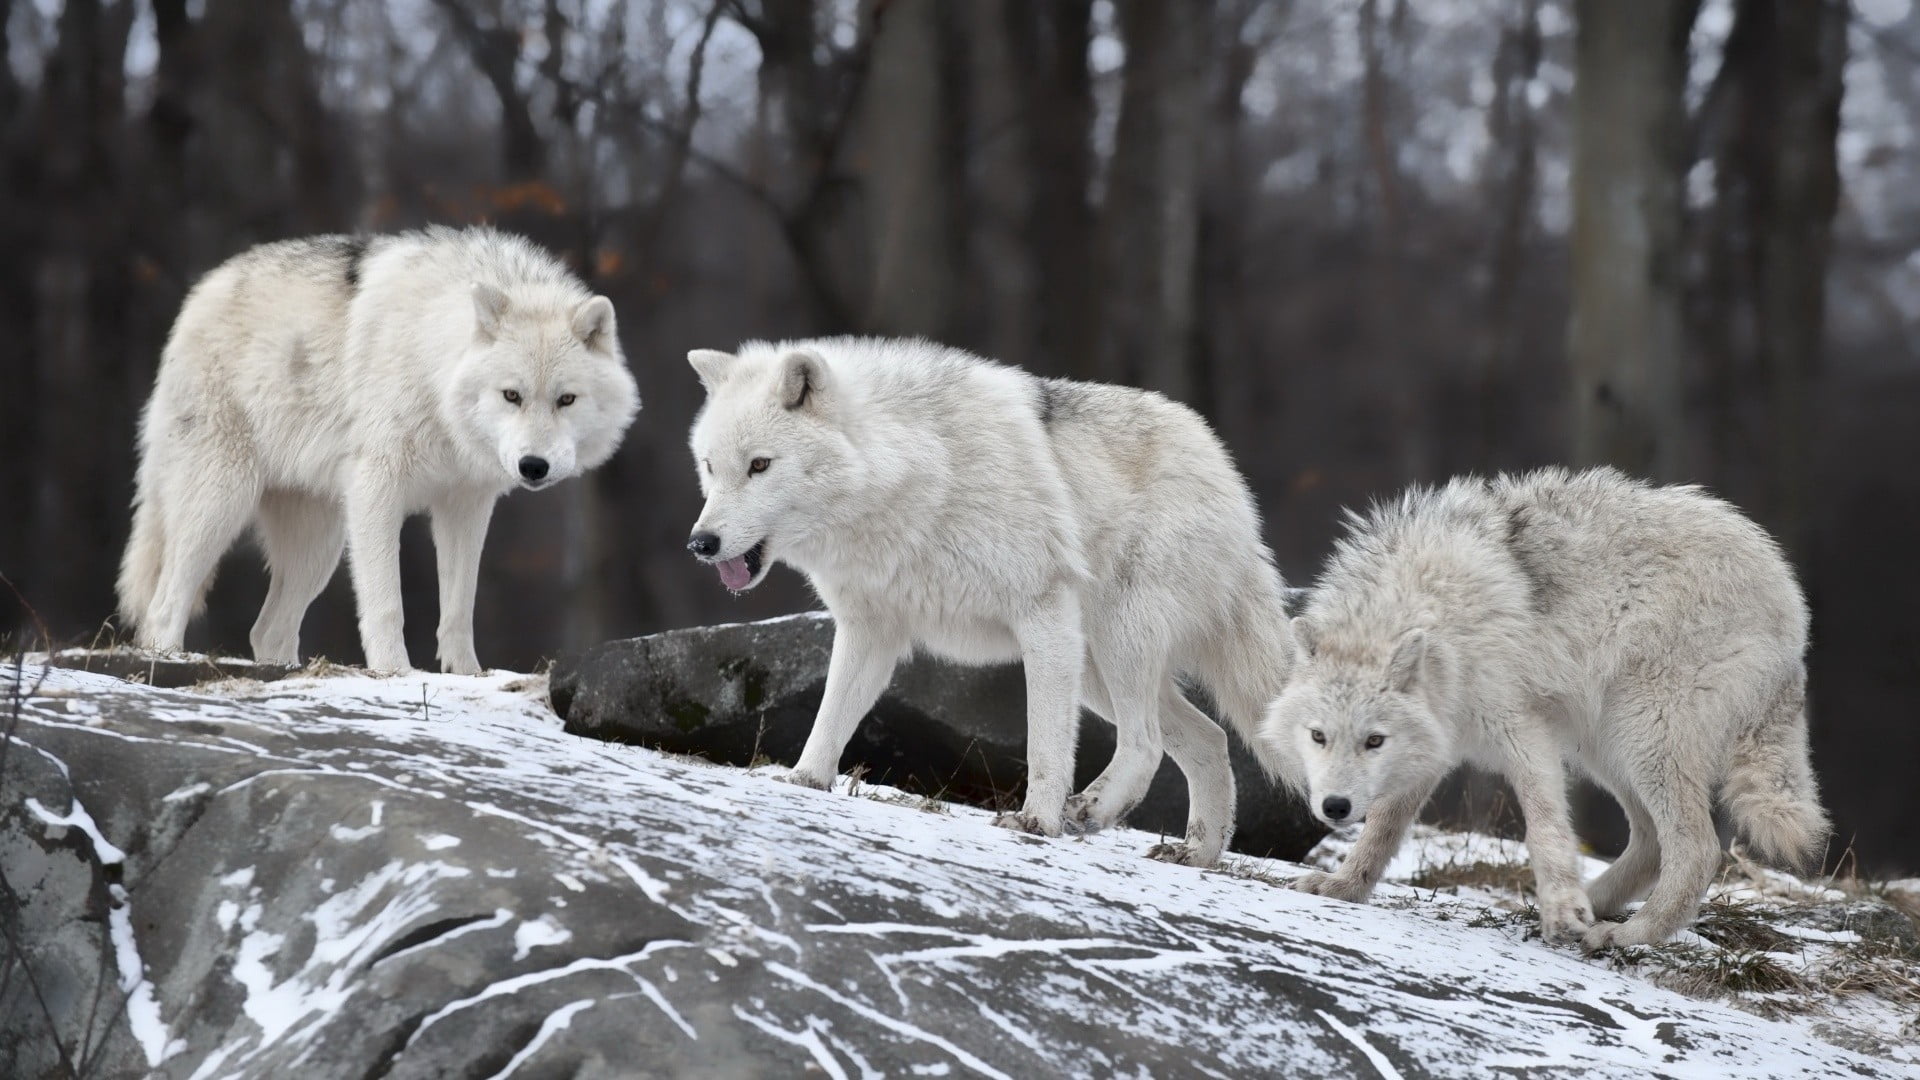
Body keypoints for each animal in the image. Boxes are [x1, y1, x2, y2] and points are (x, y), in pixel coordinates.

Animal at [117, 226, 640, 673]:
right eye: (512, 395)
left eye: (566, 399)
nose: (533, 466)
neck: (432, 365)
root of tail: (200, 292)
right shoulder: (377, 489)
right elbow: (387, 603)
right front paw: (394, 672)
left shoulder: (466, 505)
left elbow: (459, 608)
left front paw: (467, 675)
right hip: (223, 503)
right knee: (163, 606)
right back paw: (168, 659)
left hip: (318, 547)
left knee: (267, 631)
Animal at [683, 337, 1296, 865]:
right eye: (711, 467)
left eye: (760, 465)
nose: (701, 543)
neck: (913, 475)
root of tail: (1225, 470)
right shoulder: (870, 630)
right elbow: (831, 717)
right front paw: (804, 783)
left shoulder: (1042, 612)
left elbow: (1045, 742)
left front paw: (1036, 822)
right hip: (1095, 667)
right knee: (1210, 738)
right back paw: (1197, 853)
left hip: (1114, 641)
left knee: (1145, 742)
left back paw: (1092, 812)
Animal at [1262, 467, 1827, 949]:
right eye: (1318, 737)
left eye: (1373, 740)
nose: (1334, 807)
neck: (1438, 613)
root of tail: (1790, 597)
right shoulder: (1435, 744)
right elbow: (1382, 829)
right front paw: (1344, 886)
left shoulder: (1522, 729)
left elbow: (1544, 826)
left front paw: (1561, 908)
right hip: (1605, 746)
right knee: (1649, 845)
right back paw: (1588, 907)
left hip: (1641, 736)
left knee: (1697, 851)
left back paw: (1627, 933)